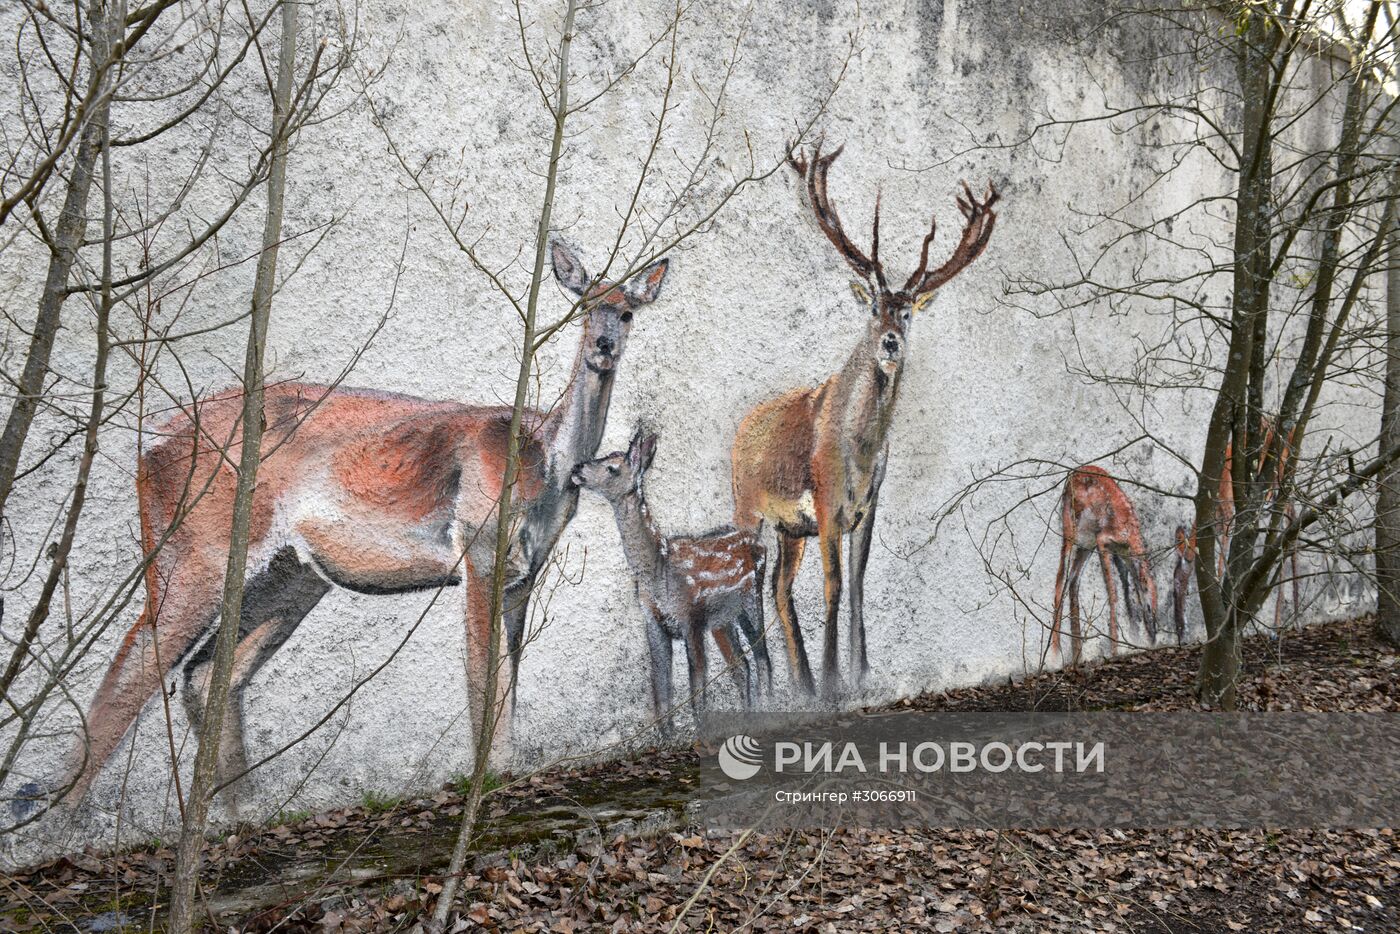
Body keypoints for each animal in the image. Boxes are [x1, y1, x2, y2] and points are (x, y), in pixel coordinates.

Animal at [20, 240, 666, 817]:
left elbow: (510, 673)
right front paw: (491, 777)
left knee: (206, 672)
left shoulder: (523, 574)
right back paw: (63, 825)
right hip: (193, 546)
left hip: (293, 572)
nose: (604, 346)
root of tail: (146, 446)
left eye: (628, 311)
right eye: (586, 305)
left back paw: (237, 813)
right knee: (137, 660)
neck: (543, 462)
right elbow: (485, 678)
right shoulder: (478, 550)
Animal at [571, 428, 778, 728]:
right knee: (742, 665)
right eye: (604, 455)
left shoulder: (690, 617)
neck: (658, 571)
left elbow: (697, 690)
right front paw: (668, 734)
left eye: (612, 468)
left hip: (751, 599)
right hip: (722, 621)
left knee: (763, 657)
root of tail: (758, 539)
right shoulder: (653, 622)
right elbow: (661, 690)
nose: (576, 468)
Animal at [733, 142, 996, 697]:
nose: (891, 342)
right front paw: (836, 678)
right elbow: (833, 586)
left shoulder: (868, 503)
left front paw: (860, 674)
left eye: (909, 311)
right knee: (754, 583)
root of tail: (743, 425)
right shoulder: (828, 499)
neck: (860, 448)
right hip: (746, 504)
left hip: (791, 529)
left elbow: (857, 585)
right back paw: (793, 684)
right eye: (875, 307)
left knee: (779, 588)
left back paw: (801, 684)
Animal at [1052, 467, 1159, 663]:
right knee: (1061, 577)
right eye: (1149, 608)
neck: (1129, 539)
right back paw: (1055, 655)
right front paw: (1114, 650)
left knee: (1073, 579)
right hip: (1073, 526)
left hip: (1086, 540)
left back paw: (1077, 655)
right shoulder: (1104, 540)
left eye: (1156, 609)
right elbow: (1113, 592)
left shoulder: (1113, 549)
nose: (1153, 636)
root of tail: (1070, 477)